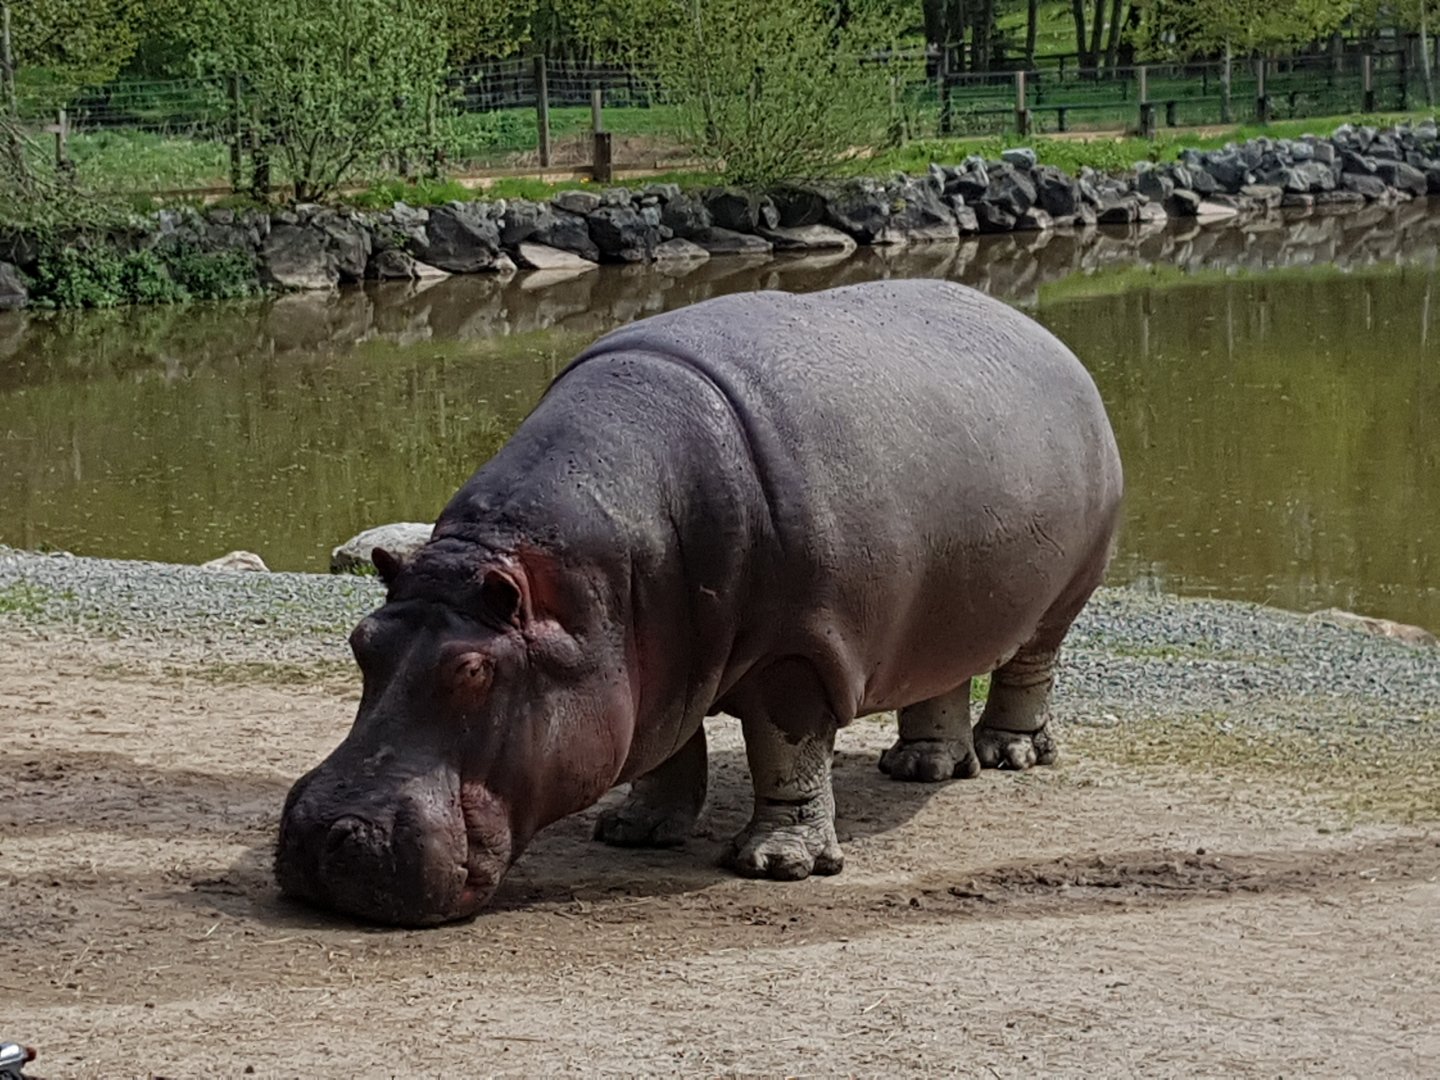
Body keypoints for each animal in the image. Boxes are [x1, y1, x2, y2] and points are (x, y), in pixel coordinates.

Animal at [275, 279, 1124, 926]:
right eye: (363, 641)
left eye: (475, 671)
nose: (323, 836)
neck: (591, 589)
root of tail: (1036, 328)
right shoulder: (653, 661)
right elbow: (667, 748)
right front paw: (634, 830)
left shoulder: (798, 650)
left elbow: (786, 747)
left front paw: (777, 864)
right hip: (942, 608)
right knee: (940, 677)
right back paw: (919, 767)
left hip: (1066, 596)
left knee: (1029, 669)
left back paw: (1008, 754)